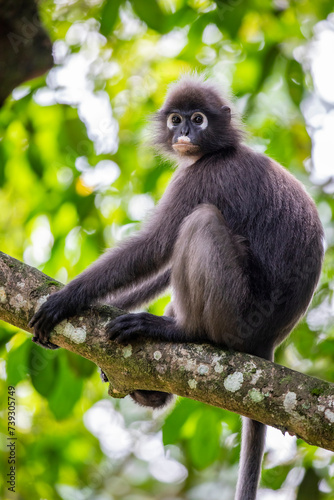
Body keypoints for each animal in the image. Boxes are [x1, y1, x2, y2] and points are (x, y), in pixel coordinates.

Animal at [30, 74, 324, 500]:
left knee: (201, 221)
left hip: (234, 315)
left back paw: (180, 330)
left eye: (198, 119)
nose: (184, 132)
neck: (219, 150)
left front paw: (64, 301)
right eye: (176, 119)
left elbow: (156, 246)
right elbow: (162, 264)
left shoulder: (202, 176)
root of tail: (267, 343)